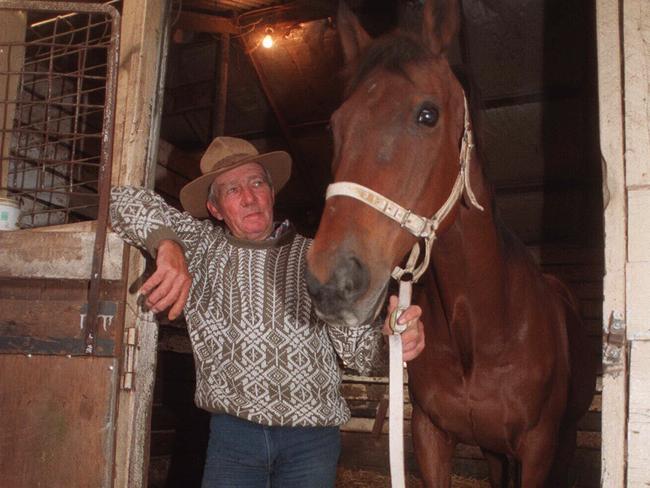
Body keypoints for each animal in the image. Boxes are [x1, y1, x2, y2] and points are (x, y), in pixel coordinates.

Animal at [306, 1, 596, 486]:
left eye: (428, 114)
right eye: (334, 124)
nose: (332, 282)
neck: (481, 330)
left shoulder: (539, 448)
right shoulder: (431, 436)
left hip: (565, 440)